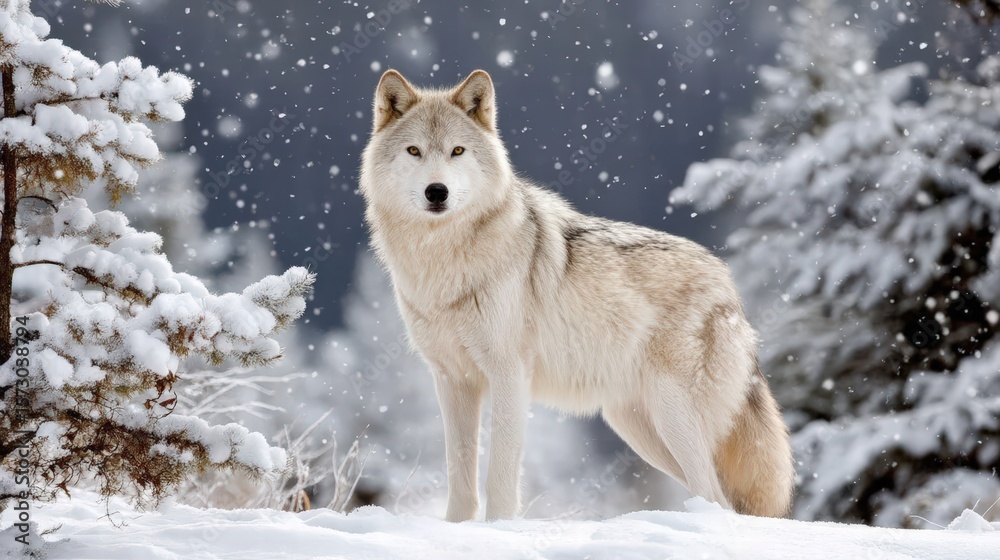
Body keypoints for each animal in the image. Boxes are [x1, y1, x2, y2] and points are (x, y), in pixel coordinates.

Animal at [359, 69, 795, 521]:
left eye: (457, 151)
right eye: (414, 151)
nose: (437, 192)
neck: (443, 260)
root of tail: (728, 285)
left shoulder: (510, 374)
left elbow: (500, 474)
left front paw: (498, 527)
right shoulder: (451, 380)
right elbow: (459, 475)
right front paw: (457, 528)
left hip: (671, 415)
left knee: (716, 499)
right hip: (639, 429)